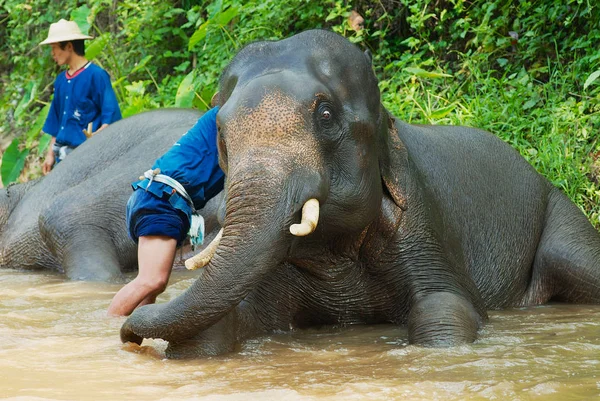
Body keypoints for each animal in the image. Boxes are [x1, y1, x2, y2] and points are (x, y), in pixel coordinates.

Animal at [119, 29, 600, 358]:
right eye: (218, 132)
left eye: (326, 115)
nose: (127, 332)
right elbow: (221, 321)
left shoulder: (421, 222)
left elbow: (448, 307)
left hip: (559, 209)